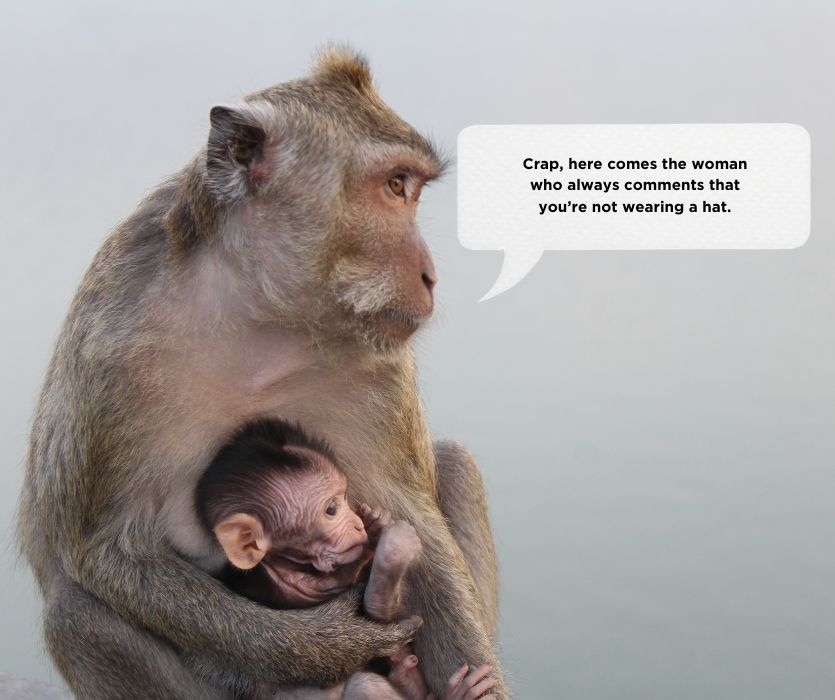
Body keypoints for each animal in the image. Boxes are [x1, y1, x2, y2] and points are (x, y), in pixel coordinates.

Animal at [18, 47, 505, 699]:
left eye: (411, 190)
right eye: (395, 185)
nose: (430, 275)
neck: (259, 313)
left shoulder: (376, 362)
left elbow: (413, 518)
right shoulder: (112, 346)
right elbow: (108, 550)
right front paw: (334, 639)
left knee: (452, 460)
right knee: (76, 615)